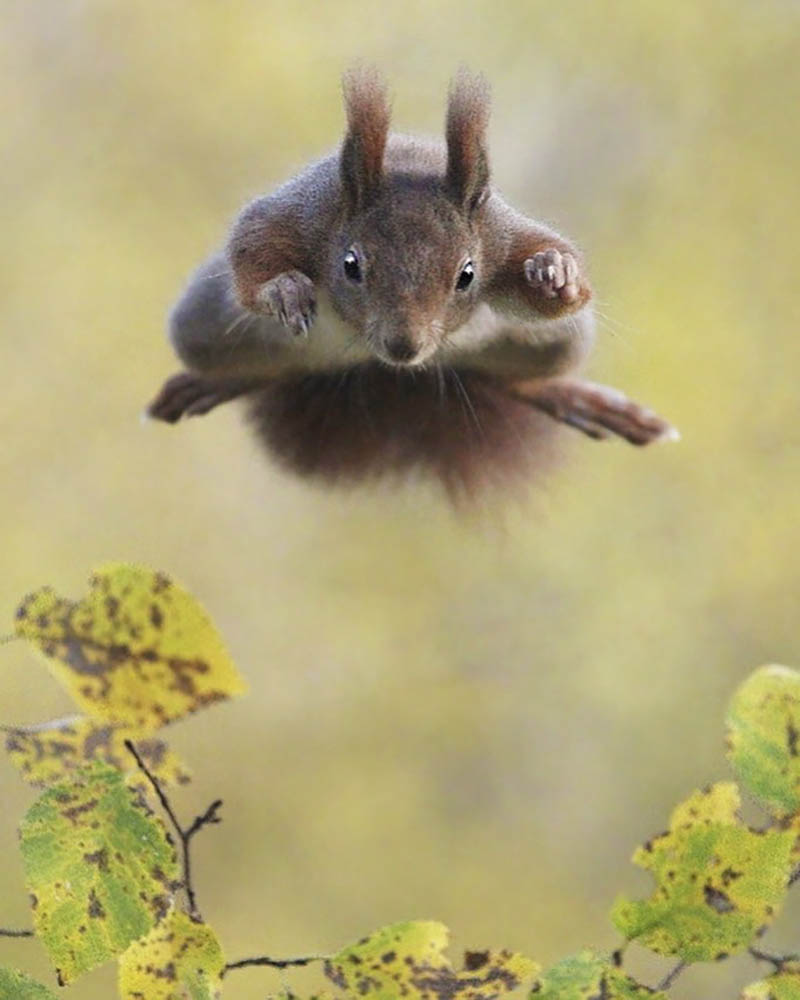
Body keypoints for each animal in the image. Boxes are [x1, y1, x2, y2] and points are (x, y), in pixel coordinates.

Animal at [145, 67, 676, 500]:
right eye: (351, 265)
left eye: (467, 275)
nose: (405, 346)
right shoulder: (301, 215)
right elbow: (252, 245)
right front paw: (284, 290)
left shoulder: (500, 235)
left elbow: (552, 272)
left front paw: (555, 273)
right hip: (204, 327)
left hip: (550, 345)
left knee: (525, 377)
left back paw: (569, 397)